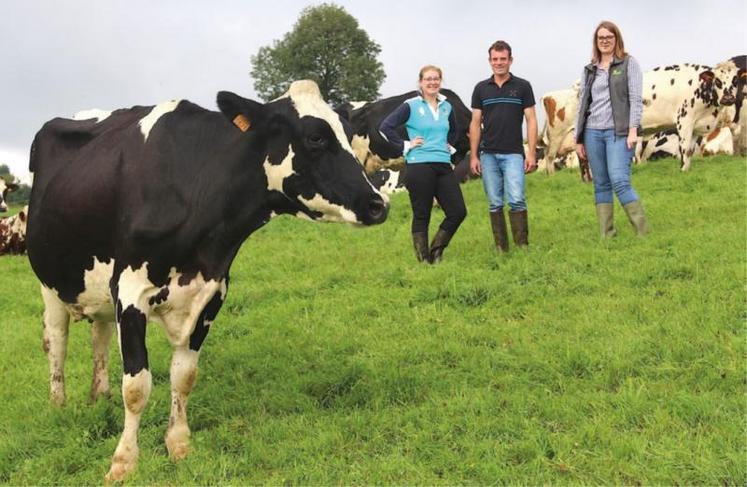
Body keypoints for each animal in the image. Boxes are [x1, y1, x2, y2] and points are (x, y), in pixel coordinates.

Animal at [26, 80, 388, 482]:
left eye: (349, 135)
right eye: (315, 138)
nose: (378, 204)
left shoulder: (212, 292)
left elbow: (184, 375)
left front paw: (179, 445)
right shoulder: (131, 290)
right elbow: (137, 385)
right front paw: (123, 462)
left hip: (97, 288)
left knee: (99, 335)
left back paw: (99, 397)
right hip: (49, 284)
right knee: (56, 341)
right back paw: (59, 405)